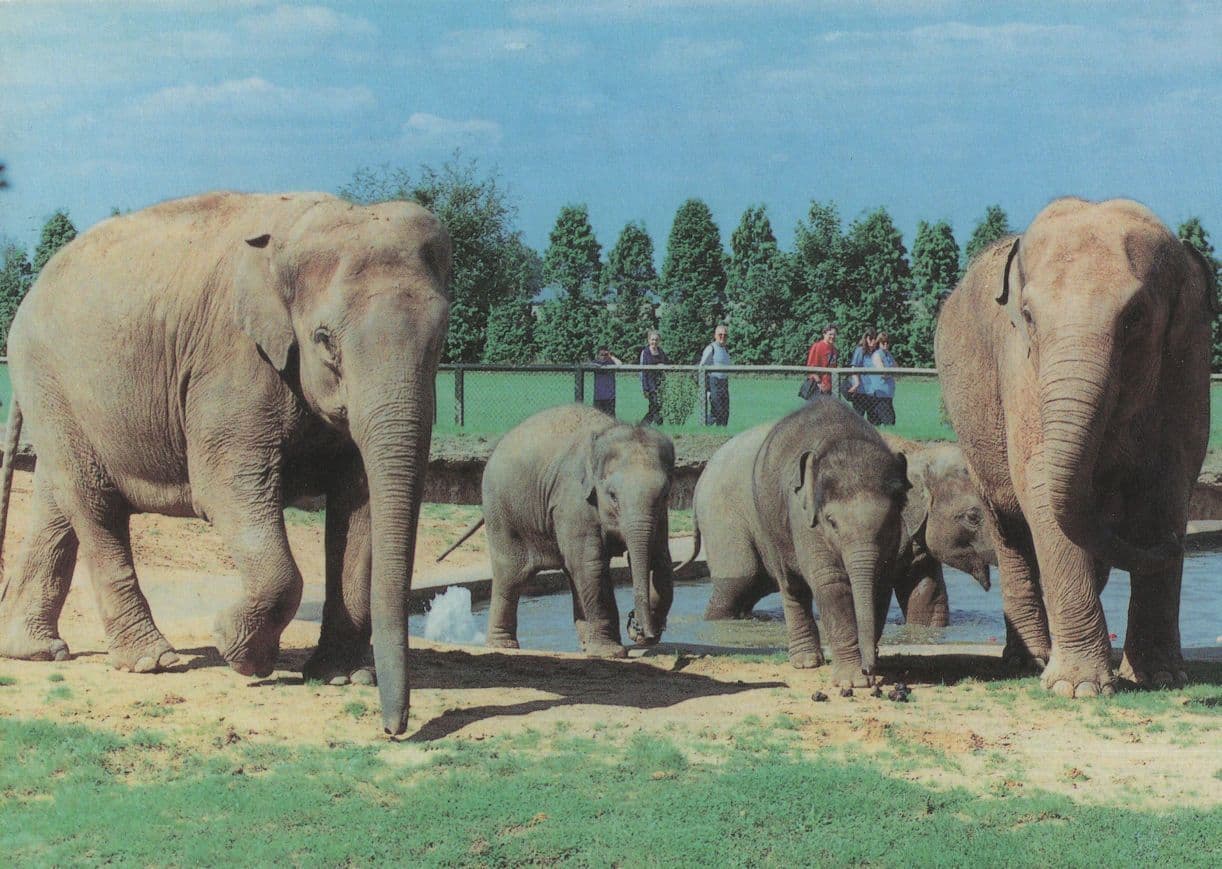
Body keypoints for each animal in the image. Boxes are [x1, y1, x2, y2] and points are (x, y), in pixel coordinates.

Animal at [0, 191, 451, 736]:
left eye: (441, 337)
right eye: (325, 339)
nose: (393, 729)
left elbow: (358, 502)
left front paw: (338, 677)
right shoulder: (232, 363)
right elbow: (225, 489)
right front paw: (242, 654)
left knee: (59, 502)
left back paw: (36, 651)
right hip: (50, 378)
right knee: (94, 503)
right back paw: (153, 661)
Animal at [437, 404, 675, 656]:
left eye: (665, 494)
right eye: (612, 495)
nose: (641, 630)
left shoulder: (660, 515)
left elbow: (661, 561)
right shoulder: (572, 500)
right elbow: (592, 565)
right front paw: (611, 653)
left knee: (571, 572)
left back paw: (584, 645)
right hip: (501, 512)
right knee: (511, 576)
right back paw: (503, 645)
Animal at [687, 399, 910, 686]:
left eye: (891, 518)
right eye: (831, 522)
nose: (869, 671)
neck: (844, 437)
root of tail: (701, 478)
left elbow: (880, 582)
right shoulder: (803, 516)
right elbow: (830, 582)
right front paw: (852, 681)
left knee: (755, 585)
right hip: (738, 518)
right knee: (758, 580)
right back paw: (804, 662)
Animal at [935, 197, 1215, 697]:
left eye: (1135, 317)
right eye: (1028, 316)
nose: (1177, 546)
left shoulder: (1190, 365)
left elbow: (1167, 485)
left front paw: (1161, 677)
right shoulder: (1021, 367)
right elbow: (1039, 482)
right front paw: (1077, 688)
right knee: (1010, 532)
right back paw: (1028, 660)